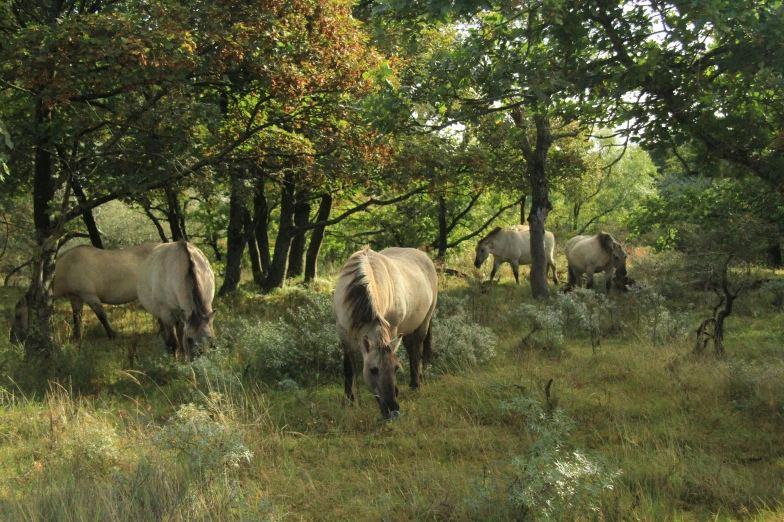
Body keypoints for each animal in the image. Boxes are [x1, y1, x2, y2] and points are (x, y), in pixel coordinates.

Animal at [9, 241, 161, 342]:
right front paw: (76, 337)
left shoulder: (90, 296)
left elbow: (101, 316)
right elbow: (77, 317)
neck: (69, 266)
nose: (12, 339)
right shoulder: (75, 298)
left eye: (18, 315)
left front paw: (111, 334)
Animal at [332, 245, 438, 418]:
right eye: (373, 370)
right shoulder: (343, 334)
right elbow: (348, 369)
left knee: (417, 351)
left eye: (396, 368)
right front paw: (349, 401)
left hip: (424, 322)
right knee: (412, 350)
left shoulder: (392, 330)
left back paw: (416, 383)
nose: (392, 409)